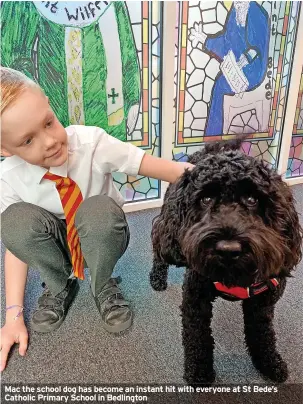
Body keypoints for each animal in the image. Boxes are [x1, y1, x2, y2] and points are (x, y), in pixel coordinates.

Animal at [151, 139, 302, 386]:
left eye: (252, 199)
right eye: (205, 199)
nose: (228, 249)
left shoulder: (261, 304)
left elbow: (263, 335)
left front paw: (269, 363)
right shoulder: (196, 299)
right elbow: (198, 337)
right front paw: (199, 372)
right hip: (166, 226)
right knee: (159, 250)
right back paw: (157, 278)